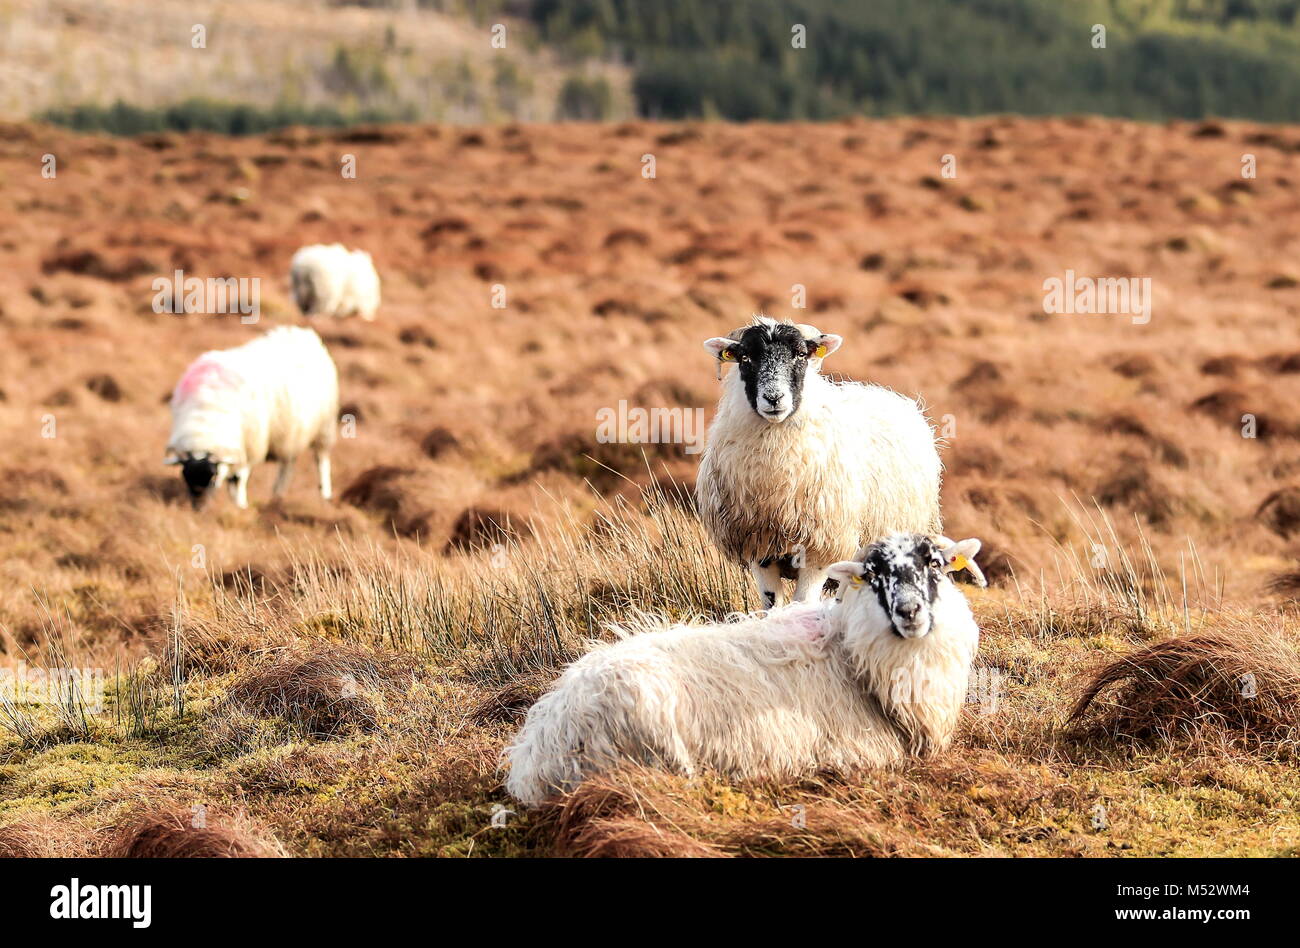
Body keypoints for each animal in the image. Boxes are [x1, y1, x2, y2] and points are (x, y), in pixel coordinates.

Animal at [163, 325, 340, 507]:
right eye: (185, 476)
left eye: (212, 477)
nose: (198, 507)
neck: (204, 415)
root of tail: (303, 333)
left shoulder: (250, 447)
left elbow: (238, 479)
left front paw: (240, 504)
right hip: (293, 434)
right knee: (288, 463)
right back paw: (278, 495)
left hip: (324, 426)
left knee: (321, 459)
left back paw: (324, 492)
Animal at [696, 312, 941, 605]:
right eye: (745, 358)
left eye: (801, 354)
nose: (774, 398)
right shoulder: (759, 548)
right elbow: (772, 605)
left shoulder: (821, 549)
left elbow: (802, 603)